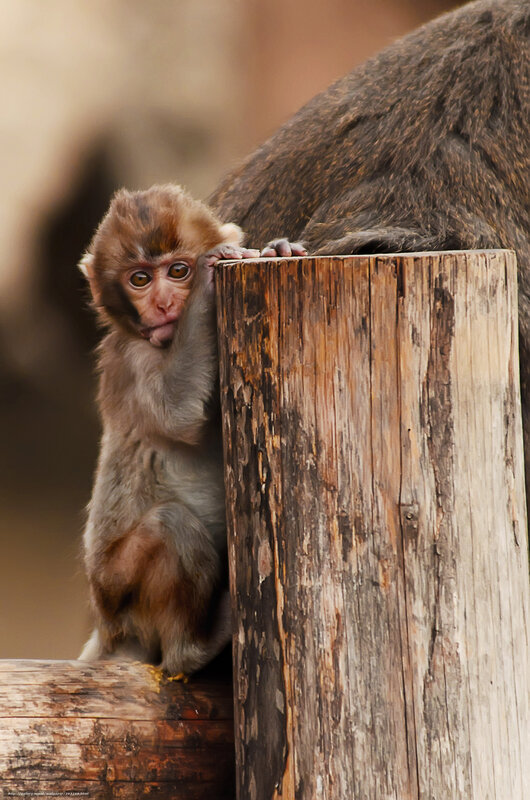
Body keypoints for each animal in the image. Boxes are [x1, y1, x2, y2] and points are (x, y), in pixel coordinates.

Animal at [78, 183, 305, 675]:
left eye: (175, 270)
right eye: (139, 280)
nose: (164, 304)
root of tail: (107, 628)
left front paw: (276, 249)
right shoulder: (132, 359)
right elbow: (177, 412)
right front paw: (208, 280)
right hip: (119, 590)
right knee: (171, 525)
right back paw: (194, 646)